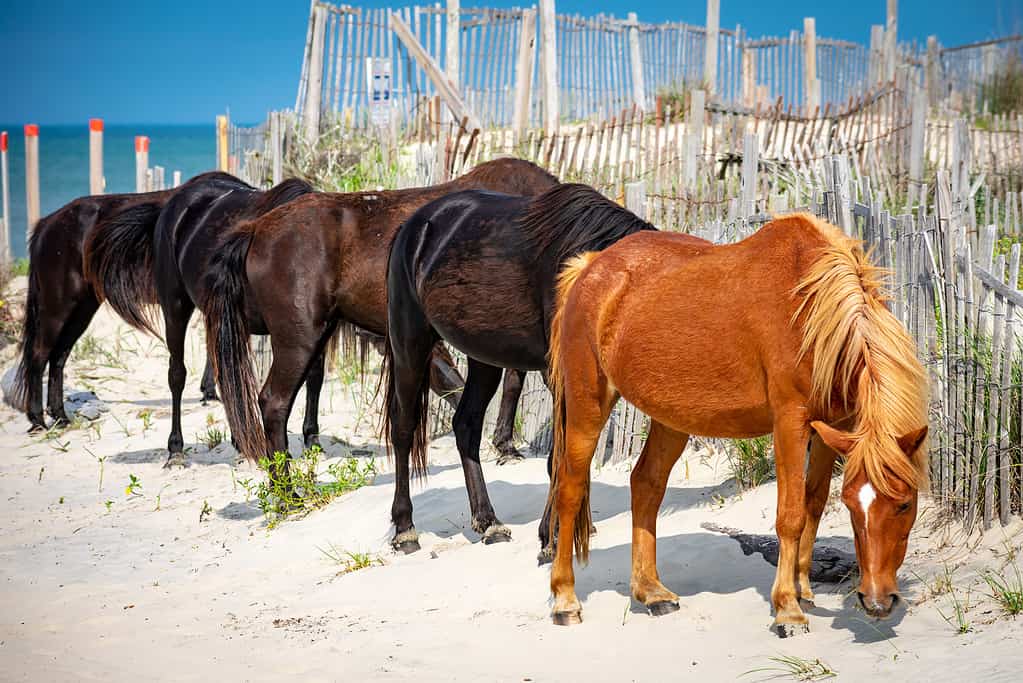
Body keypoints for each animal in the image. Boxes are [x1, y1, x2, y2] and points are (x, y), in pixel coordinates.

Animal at [10, 179, 227, 432]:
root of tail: (45, 225)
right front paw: (211, 392)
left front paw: (209, 392)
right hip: (57, 307)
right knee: (38, 356)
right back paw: (38, 420)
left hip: (82, 309)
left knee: (58, 357)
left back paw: (61, 417)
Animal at [84, 173, 315, 467]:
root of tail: (176, 201)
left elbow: (315, 377)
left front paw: (312, 439)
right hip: (176, 308)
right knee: (178, 375)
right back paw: (176, 449)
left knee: (226, 373)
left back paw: (238, 441)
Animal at [381, 183, 656, 552]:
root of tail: (414, 226)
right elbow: (561, 454)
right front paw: (552, 534)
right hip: (410, 342)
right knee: (403, 427)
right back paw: (405, 529)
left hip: (484, 357)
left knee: (465, 425)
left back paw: (489, 522)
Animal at [544, 213, 929, 636]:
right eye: (852, 505)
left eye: (905, 503)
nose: (877, 601)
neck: (811, 305)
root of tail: (591, 267)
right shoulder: (790, 421)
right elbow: (791, 514)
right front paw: (787, 608)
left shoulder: (833, 427)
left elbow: (812, 503)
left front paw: (803, 589)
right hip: (588, 407)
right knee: (569, 490)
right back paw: (565, 599)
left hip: (671, 418)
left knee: (645, 484)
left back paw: (651, 592)